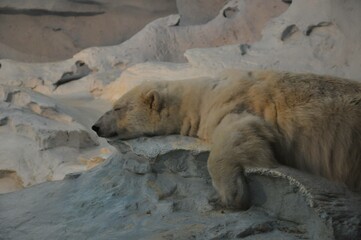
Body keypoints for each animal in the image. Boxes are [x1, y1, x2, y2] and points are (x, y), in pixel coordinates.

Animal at [92, 70, 360, 209]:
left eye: (117, 108)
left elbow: (240, 131)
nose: (96, 126)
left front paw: (229, 196)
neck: (200, 97)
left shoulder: (234, 103)